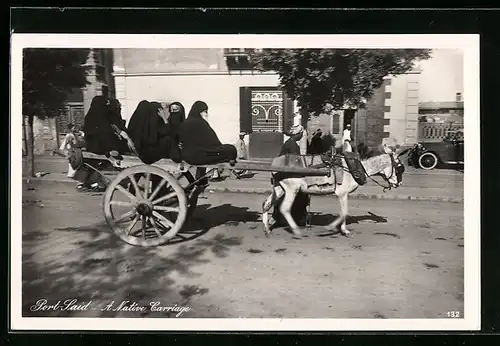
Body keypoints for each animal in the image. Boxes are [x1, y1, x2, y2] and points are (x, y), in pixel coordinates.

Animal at [262, 144, 406, 238]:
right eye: (400, 168)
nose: (399, 183)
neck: (355, 166)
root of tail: (275, 164)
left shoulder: (343, 194)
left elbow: (344, 213)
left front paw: (343, 230)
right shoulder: (342, 193)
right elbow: (344, 212)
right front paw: (334, 228)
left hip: (280, 188)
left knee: (266, 204)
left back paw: (267, 228)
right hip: (292, 189)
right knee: (285, 208)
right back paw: (296, 230)